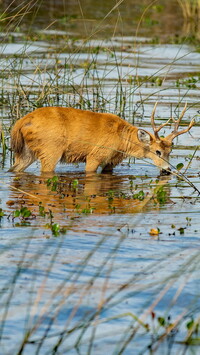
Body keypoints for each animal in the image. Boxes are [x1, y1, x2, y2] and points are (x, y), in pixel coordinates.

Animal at [9, 102, 194, 175]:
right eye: (157, 151)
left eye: (170, 151)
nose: (167, 170)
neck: (122, 140)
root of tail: (21, 122)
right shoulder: (95, 155)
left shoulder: (112, 161)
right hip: (50, 149)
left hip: (26, 151)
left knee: (14, 169)